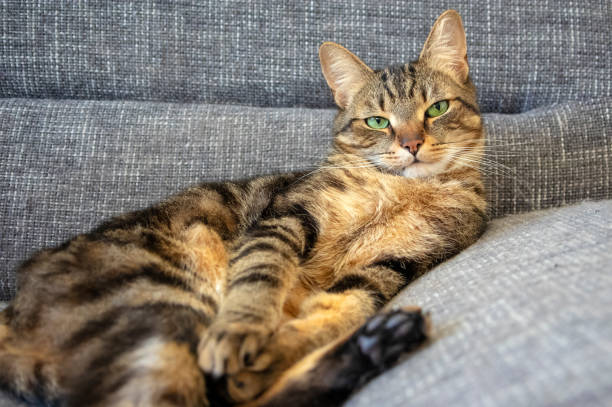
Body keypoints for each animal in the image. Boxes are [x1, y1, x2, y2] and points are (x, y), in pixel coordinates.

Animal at [0, 9, 488, 407]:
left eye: (436, 108)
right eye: (377, 121)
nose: (411, 144)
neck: (398, 192)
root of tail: (17, 307)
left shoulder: (397, 263)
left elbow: (341, 308)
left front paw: (269, 355)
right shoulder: (288, 215)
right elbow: (261, 275)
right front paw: (241, 333)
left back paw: (381, 341)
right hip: (161, 302)